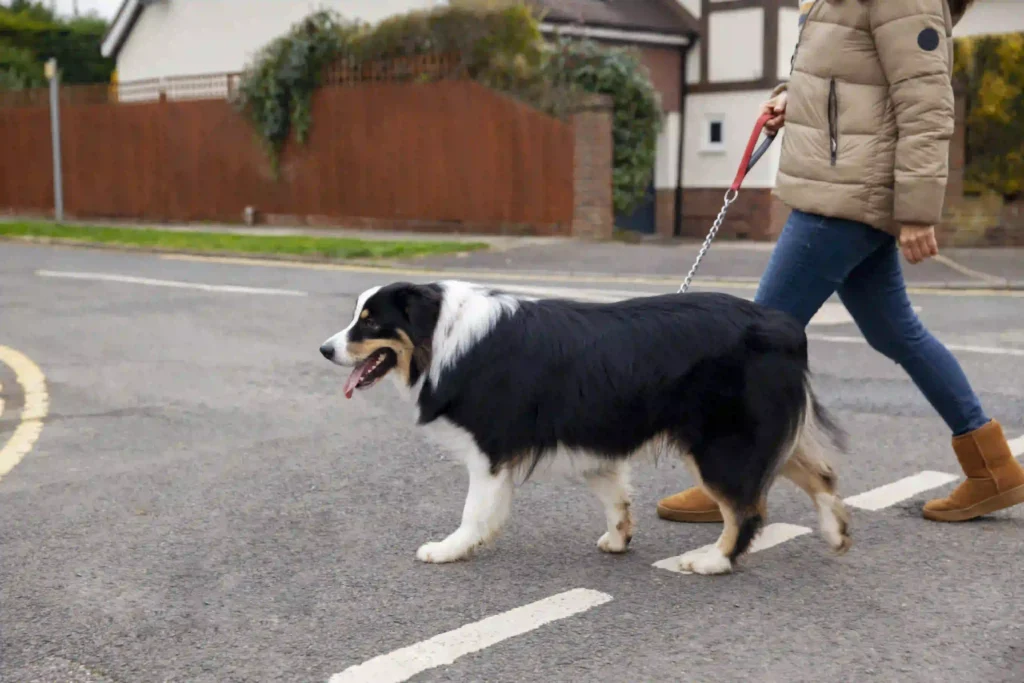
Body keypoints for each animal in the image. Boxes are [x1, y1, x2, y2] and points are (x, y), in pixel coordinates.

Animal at [317, 280, 847, 573]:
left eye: (370, 322)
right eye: (356, 316)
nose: (325, 349)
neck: (442, 333)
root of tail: (786, 326)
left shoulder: (490, 449)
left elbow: (475, 510)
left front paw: (449, 549)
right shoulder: (593, 437)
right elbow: (615, 496)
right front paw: (618, 538)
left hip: (722, 443)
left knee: (747, 510)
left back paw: (711, 561)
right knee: (820, 474)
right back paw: (836, 531)